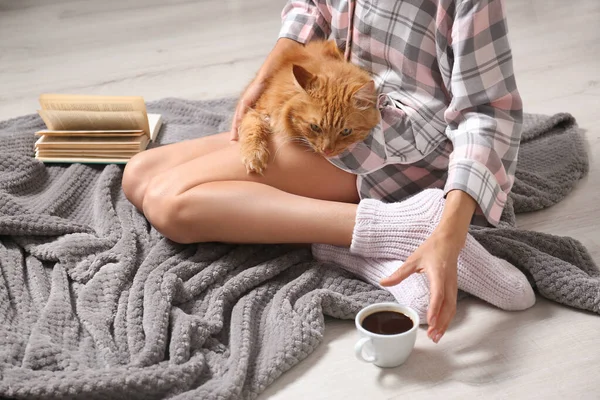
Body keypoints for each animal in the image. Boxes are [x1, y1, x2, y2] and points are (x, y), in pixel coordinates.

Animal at [238, 39, 380, 175]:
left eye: (346, 131)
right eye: (315, 127)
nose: (326, 151)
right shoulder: (258, 111)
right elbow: (253, 130)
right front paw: (254, 155)